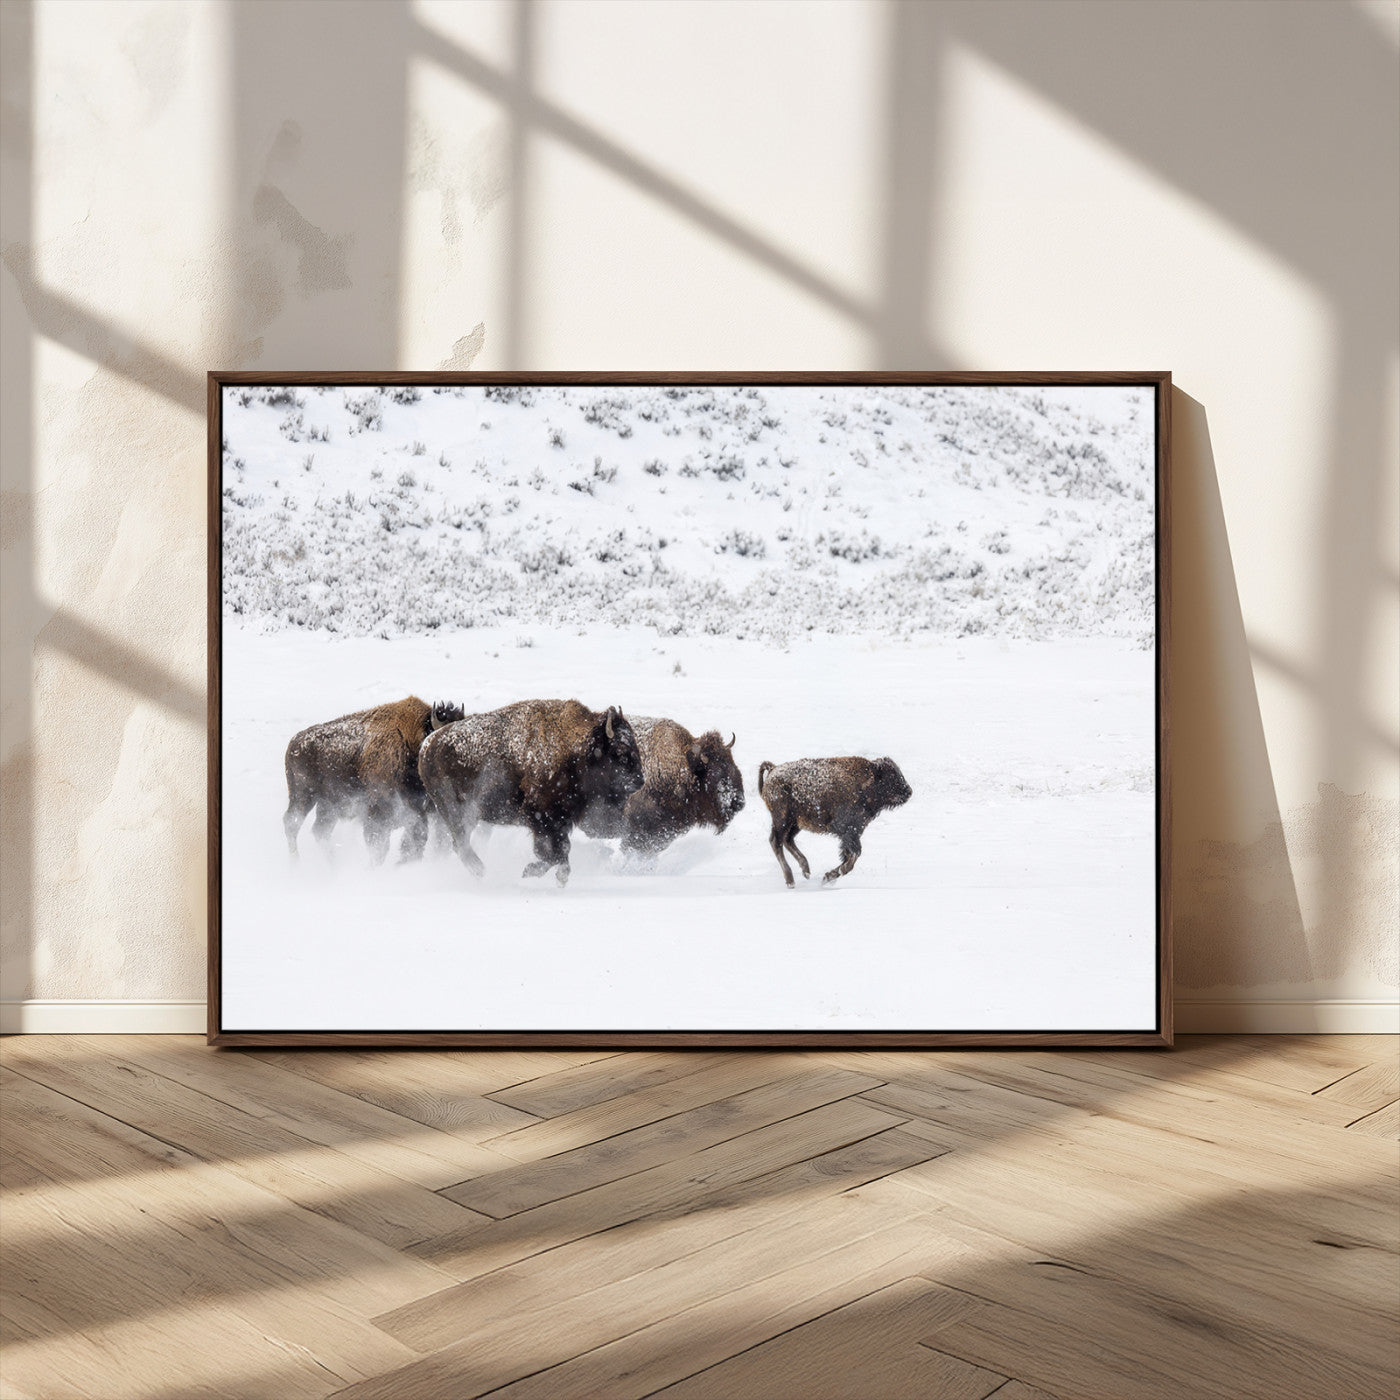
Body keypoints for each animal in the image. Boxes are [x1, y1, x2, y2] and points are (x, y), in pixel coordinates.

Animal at [283, 697, 464, 861]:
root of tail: (294, 742)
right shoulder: (379, 813)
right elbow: (379, 846)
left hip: (328, 805)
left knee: (320, 831)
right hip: (302, 795)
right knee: (292, 823)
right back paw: (296, 863)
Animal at [418, 699, 642, 885]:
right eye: (620, 751)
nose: (639, 781)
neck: (577, 750)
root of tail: (428, 745)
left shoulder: (560, 821)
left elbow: (562, 851)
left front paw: (558, 878)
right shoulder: (543, 819)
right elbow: (553, 853)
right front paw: (530, 872)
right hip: (456, 811)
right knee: (460, 842)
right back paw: (481, 870)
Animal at [757, 756, 912, 887]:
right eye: (891, 776)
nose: (909, 791)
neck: (867, 781)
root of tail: (773, 770)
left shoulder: (852, 833)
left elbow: (849, 855)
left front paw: (827, 877)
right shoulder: (850, 831)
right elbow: (853, 855)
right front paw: (833, 875)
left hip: (795, 823)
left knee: (787, 840)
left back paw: (806, 871)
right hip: (782, 820)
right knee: (776, 842)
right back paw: (791, 881)